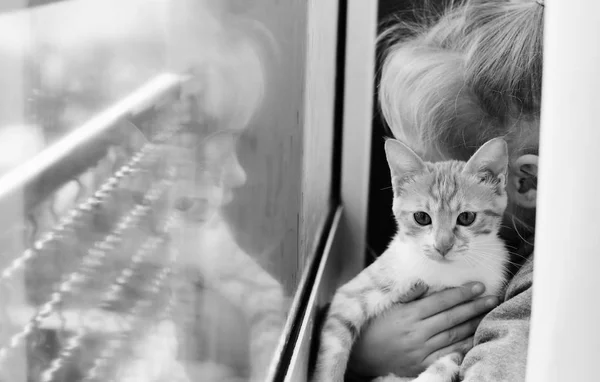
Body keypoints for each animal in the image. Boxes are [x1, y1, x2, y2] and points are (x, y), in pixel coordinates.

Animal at [314, 138, 510, 382]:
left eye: (466, 217)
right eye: (421, 217)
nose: (443, 245)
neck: (444, 273)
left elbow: (447, 364)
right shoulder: (349, 296)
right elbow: (334, 349)